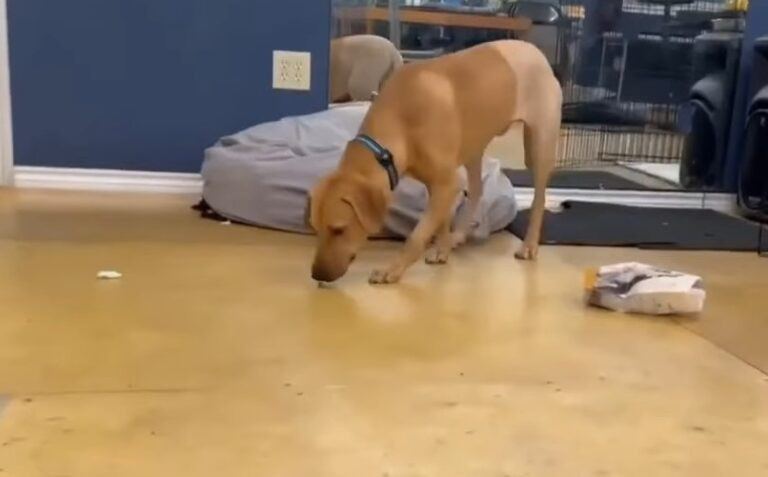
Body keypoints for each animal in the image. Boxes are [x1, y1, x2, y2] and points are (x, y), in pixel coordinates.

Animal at [310, 40, 562, 284]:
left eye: (339, 230)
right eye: (317, 229)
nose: (317, 275)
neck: (400, 122)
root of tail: (536, 52)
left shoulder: (447, 183)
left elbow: (416, 236)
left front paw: (392, 270)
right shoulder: (439, 186)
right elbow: (441, 221)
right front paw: (442, 249)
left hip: (539, 145)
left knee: (539, 199)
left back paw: (529, 245)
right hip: (473, 147)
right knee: (477, 190)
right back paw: (458, 236)